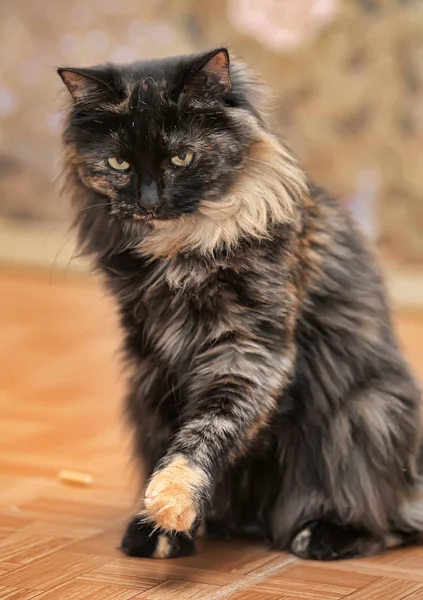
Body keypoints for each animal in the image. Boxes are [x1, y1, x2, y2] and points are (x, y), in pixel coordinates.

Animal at [57, 49, 423, 560]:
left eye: (181, 157)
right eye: (119, 163)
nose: (149, 201)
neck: (179, 248)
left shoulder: (247, 349)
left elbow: (207, 430)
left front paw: (173, 502)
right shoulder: (156, 367)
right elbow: (171, 439)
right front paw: (162, 530)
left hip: (366, 414)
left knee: (387, 522)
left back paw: (324, 534)